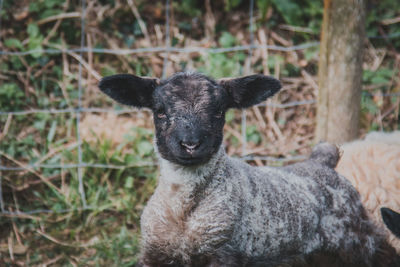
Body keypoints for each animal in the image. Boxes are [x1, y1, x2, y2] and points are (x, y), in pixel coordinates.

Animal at [98, 72, 398, 266]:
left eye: (219, 112)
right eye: (159, 111)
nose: (191, 144)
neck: (185, 214)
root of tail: (323, 159)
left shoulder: (224, 254)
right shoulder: (155, 254)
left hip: (360, 242)